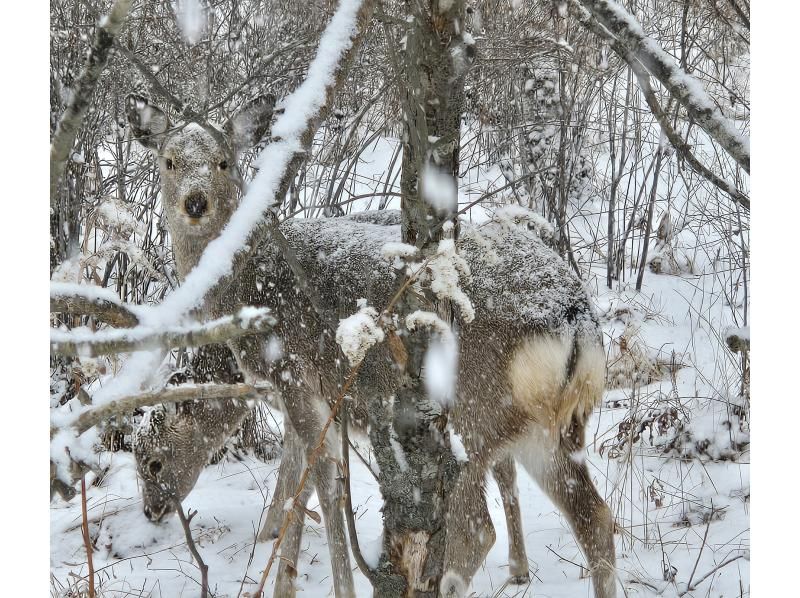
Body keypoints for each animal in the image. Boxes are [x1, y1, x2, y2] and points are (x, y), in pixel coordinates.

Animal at [126, 96, 620, 596]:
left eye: (152, 462)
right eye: (169, 162)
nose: (151, 509)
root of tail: (574, 316)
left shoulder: (293, 374)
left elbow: (322, 484)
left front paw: (324, 581)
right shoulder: (313, 397)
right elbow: (293, 477)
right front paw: (276, 561)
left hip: (472, 414)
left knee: (479, 529)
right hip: (549, 427)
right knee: (594, 517)